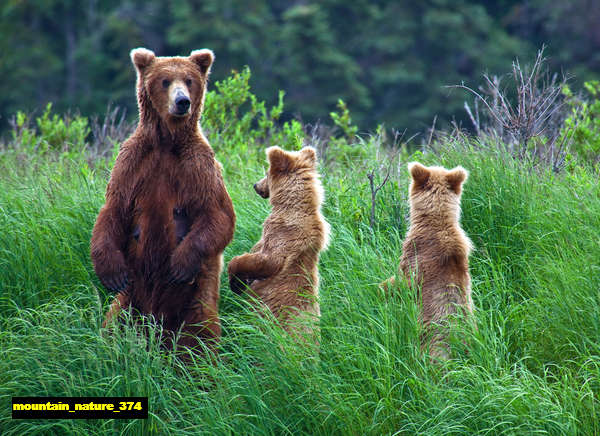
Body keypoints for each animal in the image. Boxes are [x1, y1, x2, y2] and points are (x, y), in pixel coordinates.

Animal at [90, 48, 236, 354]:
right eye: (165, 80)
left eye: (189, 80)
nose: (182, 102)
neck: (167, 142)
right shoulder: (133, 163)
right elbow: (113, 211)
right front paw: (110, 272)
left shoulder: (198, 166)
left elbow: (217, 215)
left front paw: (180, 263)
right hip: (130, 299)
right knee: (114, 325)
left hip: (194, 301)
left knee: (199, 336)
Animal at [227, 146, 330, 338]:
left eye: (266, 173)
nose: (255, 185)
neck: (289, 206)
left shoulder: (284, 235)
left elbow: (267, 260)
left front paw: (236, 281)